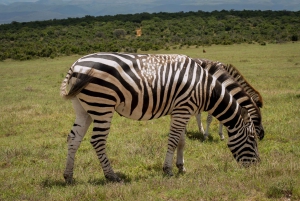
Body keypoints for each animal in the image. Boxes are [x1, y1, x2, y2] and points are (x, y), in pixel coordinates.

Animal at [59, 52, 258, 183]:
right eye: (252, 139)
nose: (257, 166)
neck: (205, 89)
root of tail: (76, 64)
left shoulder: (181, 111)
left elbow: (181, 141)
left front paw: (181, 166)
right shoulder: (183, 109)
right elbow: (173, 140)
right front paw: (168, 169)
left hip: (84, 108)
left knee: (73, 138)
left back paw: (69, 176)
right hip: (102, 105)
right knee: (97, 140)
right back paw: (111, 176)